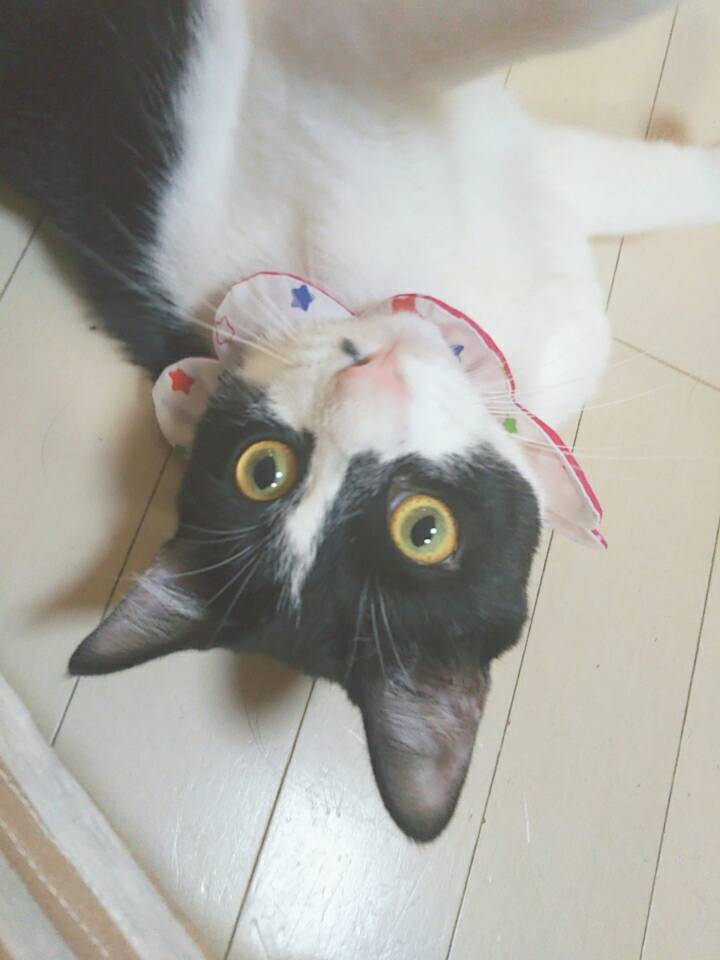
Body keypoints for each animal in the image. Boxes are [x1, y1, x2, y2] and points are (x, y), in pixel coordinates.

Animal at [2, 0, 718, 842]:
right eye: (264, 471)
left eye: (424, 527)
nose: (365, 379)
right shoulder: (344, 56)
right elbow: (524, 27)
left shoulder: (529, 178)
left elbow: (651, 179)